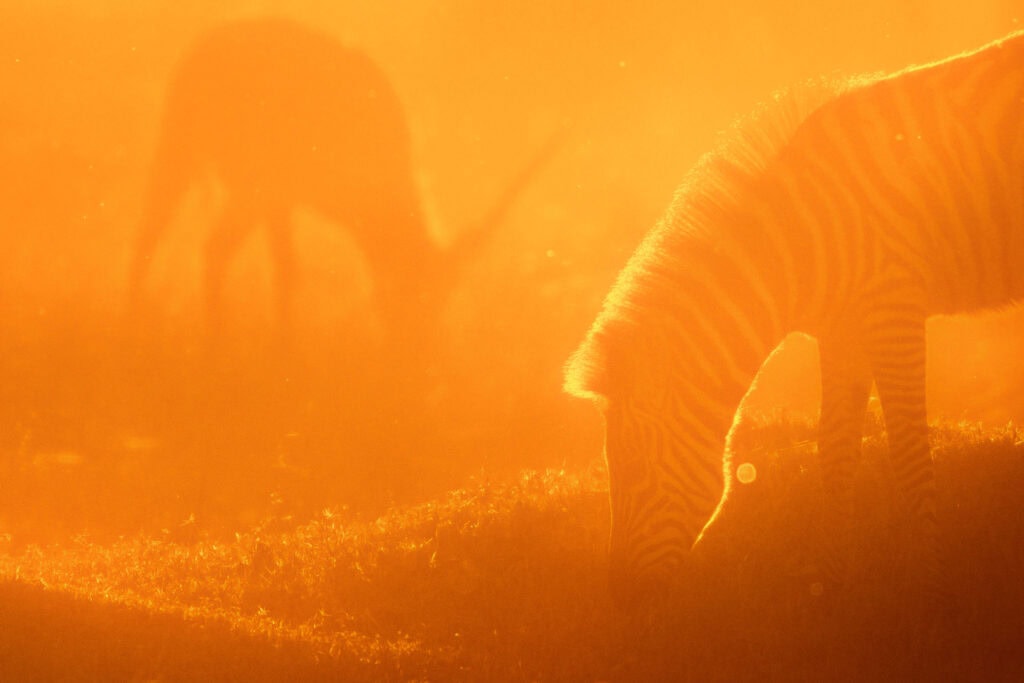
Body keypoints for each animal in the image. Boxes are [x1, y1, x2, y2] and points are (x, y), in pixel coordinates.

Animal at [565, 31, 1024, 606]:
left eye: (632, 469)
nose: (620, 598)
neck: (793, 248)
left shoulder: (892, 308)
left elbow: (910, 452)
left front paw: (932, 589)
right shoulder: (843, 330)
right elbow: (835, 452)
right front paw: (829, 588)